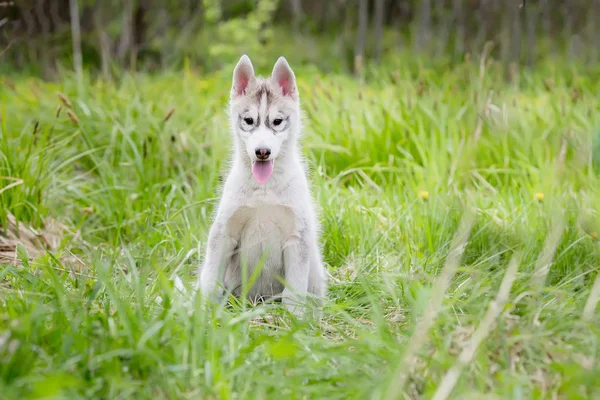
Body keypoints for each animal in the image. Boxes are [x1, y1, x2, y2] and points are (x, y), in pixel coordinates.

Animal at [199, 54, 326, 316]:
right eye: (249, 121)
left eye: (277, 121)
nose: (262, 152)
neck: (265, 191)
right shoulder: (224, 231)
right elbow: (211, 281)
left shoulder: (297, 237)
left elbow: (293, 294)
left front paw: (294, 320)